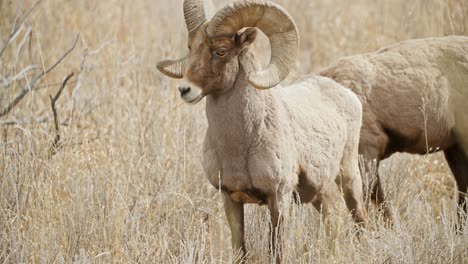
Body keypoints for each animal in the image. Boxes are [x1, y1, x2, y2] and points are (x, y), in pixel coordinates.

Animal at [158, 0, 370, 260]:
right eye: (191, 47)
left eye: (221, 51)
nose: (185, 90)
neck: (240, 147)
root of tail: (346, 93)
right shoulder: (230, 199)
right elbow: (240, 248)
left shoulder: (278, 198)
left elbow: (276, 249)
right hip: (320, 192)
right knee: (333, 219)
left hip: (349, 177)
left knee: (359, 217)